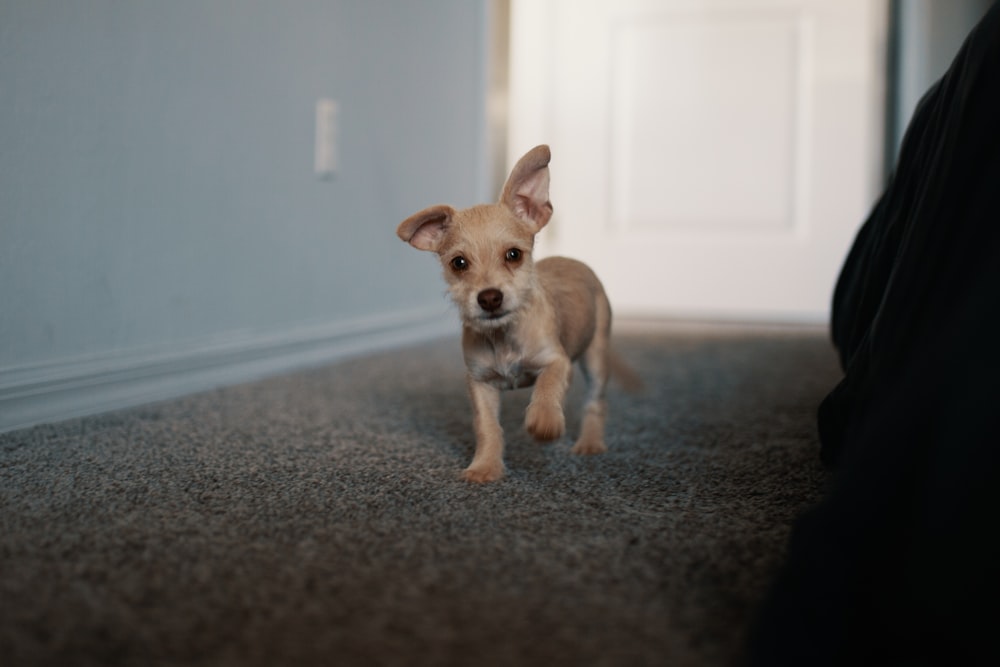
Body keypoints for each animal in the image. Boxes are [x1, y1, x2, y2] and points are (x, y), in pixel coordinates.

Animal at [396, 144, 636, 482]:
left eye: (513, 255)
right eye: (459, 263)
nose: (489, 298)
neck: (503, 336)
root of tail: (573, 261)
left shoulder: (557, 361)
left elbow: (547, 388)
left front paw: (545, 422)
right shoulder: (479, 382)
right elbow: (487, 428)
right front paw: (485, 466)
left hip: (596, 358)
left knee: (595, 402)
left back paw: (589, 442)